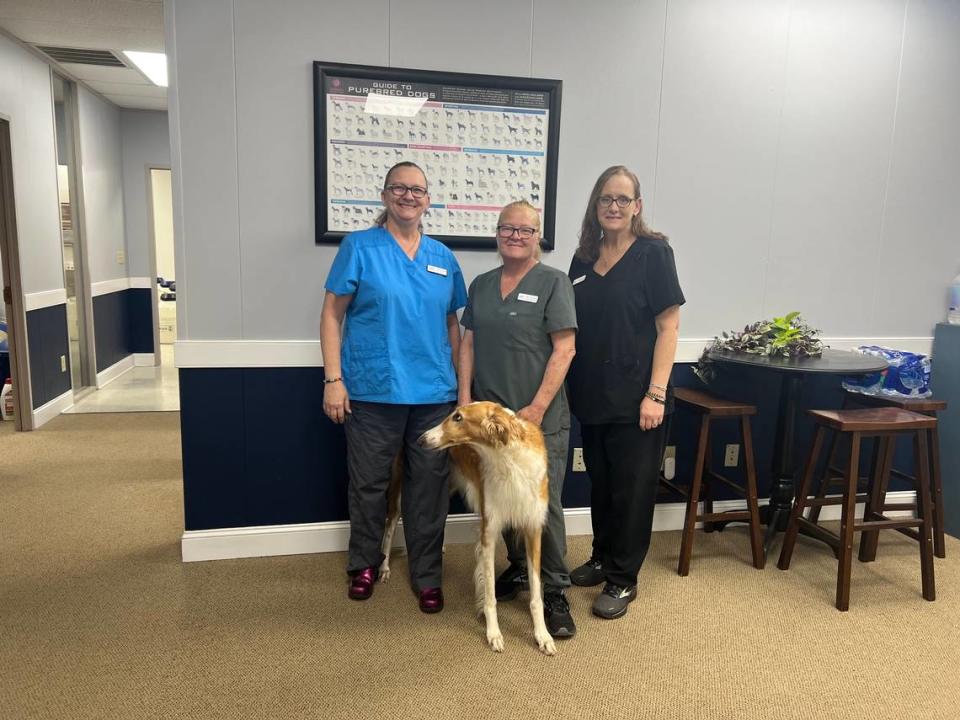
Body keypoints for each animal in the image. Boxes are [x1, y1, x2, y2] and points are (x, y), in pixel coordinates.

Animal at [420, 402, 556, 656]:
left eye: (458, 417)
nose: (421, 439)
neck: (508, 460)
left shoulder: (533, 528)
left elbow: (535, 595)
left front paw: (542, 635)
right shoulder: (489, 532)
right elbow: (490, 595)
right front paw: (494, 634)